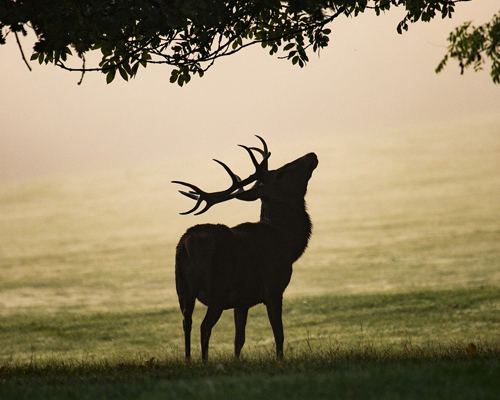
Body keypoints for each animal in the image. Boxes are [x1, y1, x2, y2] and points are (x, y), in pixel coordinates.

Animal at [174, 136, 318, 360]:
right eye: (281, 173)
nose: (311, 155)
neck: (287, 242)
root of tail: (187, 244)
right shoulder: (274, 288)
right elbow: (279, 333)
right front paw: (280, 360)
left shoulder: (241, 301)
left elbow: (238, 340)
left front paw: (236, 361)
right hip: (218, 289)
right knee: (204, 327)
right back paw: (204, 361)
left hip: (182, 289)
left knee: (186, 322)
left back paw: (189, 360)